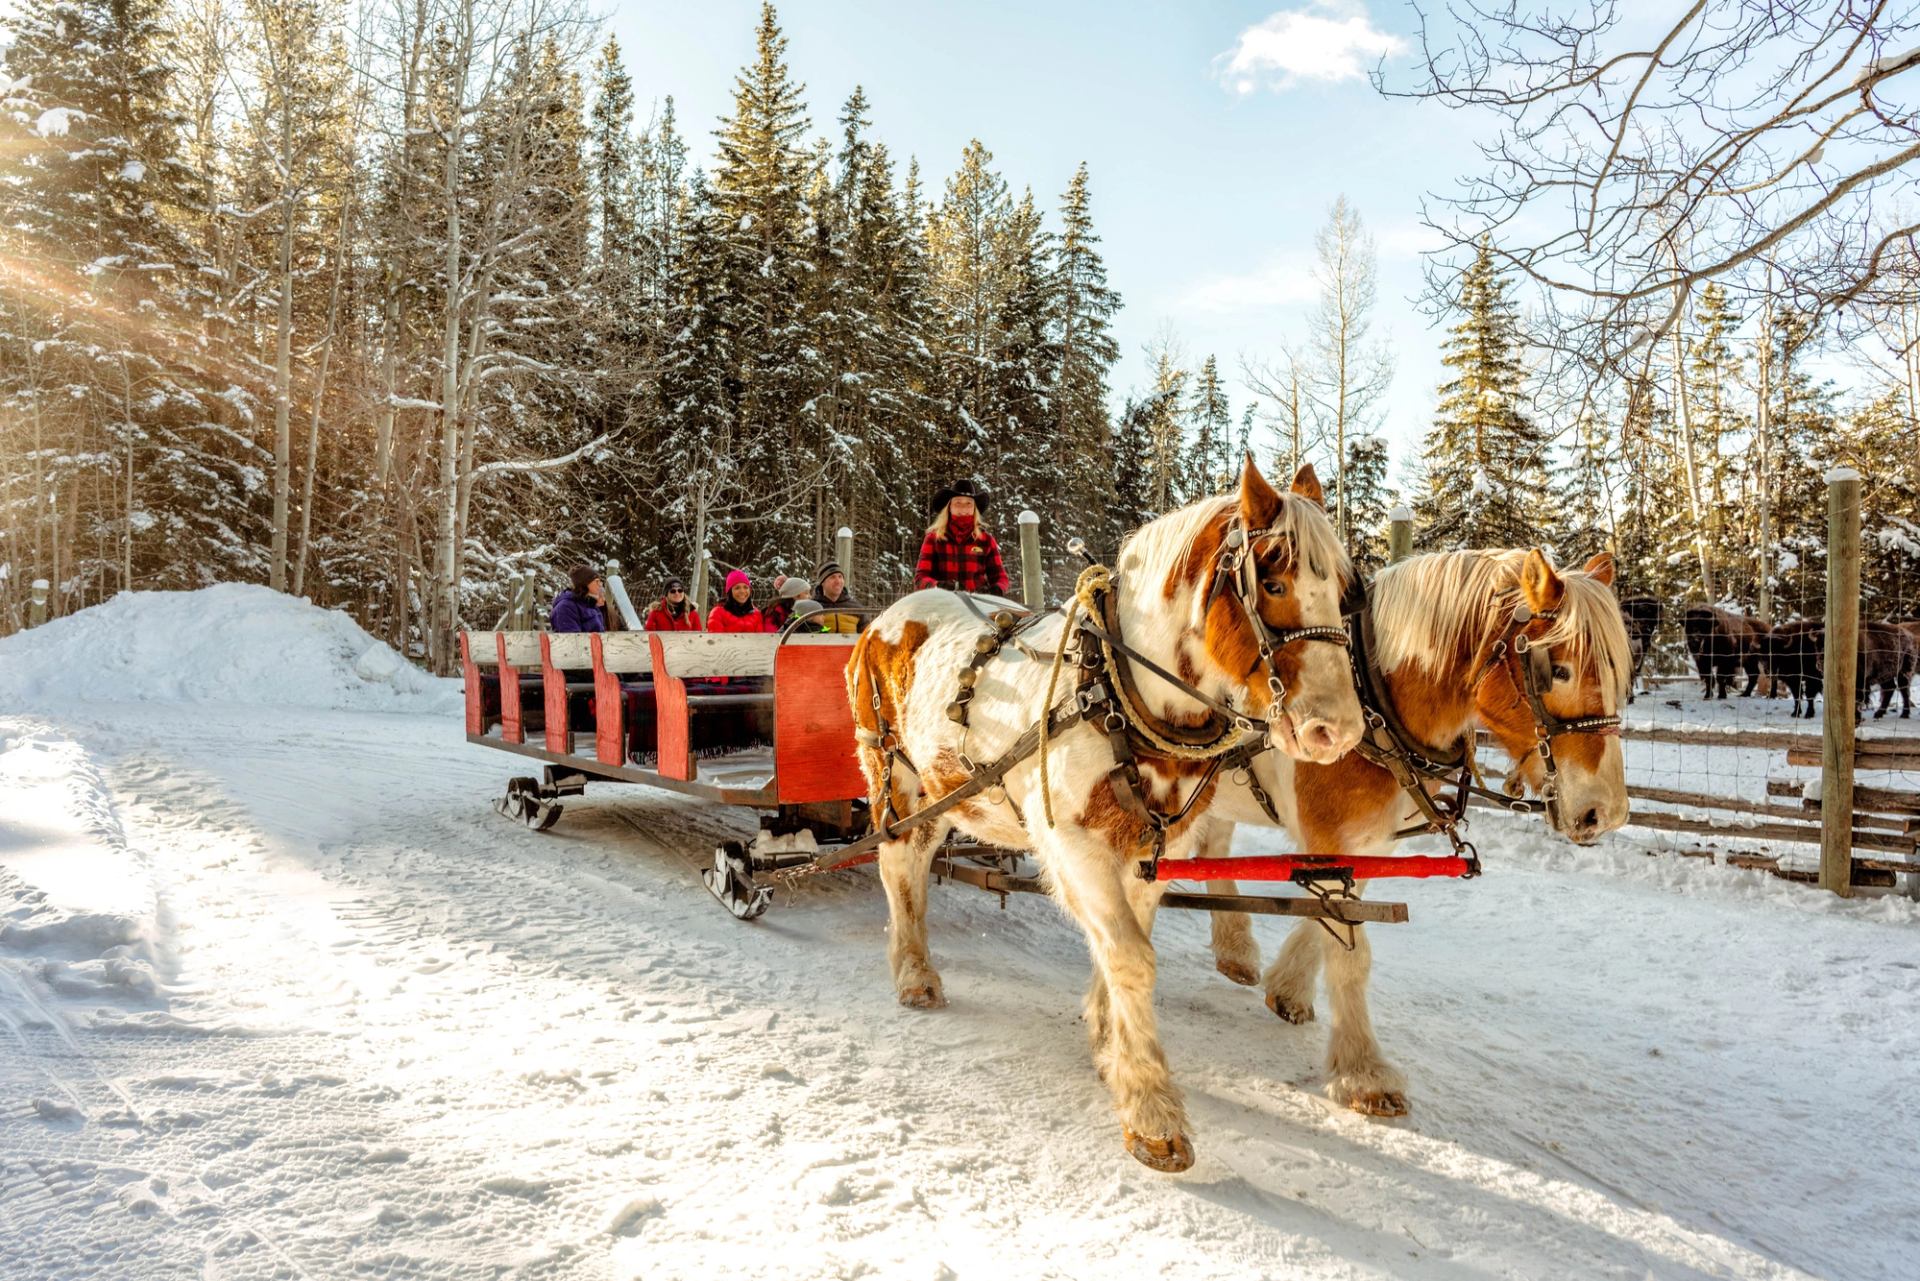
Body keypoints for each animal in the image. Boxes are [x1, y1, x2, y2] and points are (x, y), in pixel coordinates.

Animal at [847, 459, 1367, 1173]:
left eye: (1344, 590)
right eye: (1274, 581)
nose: (1336, 731)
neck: (1118, 690)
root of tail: (885, 616)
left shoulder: (1150, 845)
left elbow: (1125, 942)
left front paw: (1107, 1039)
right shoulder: (1073, 844)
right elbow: (1132, 957)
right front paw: (1151, 1111)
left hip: (937, 788)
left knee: (919, 861)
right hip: (892, 774)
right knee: (899, 867)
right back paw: (915, 974)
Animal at [1195, 548, 1631, 1117]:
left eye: (1621, 675)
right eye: (1557, 670)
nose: (1609, 811)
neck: (1373, 705)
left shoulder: (1369, 844)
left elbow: (1327, 921)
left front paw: (1288, 990)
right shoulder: (1330, 838)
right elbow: (1351, 954)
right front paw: (1363, 1074)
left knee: (1211, 844)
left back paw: (1234, 951)